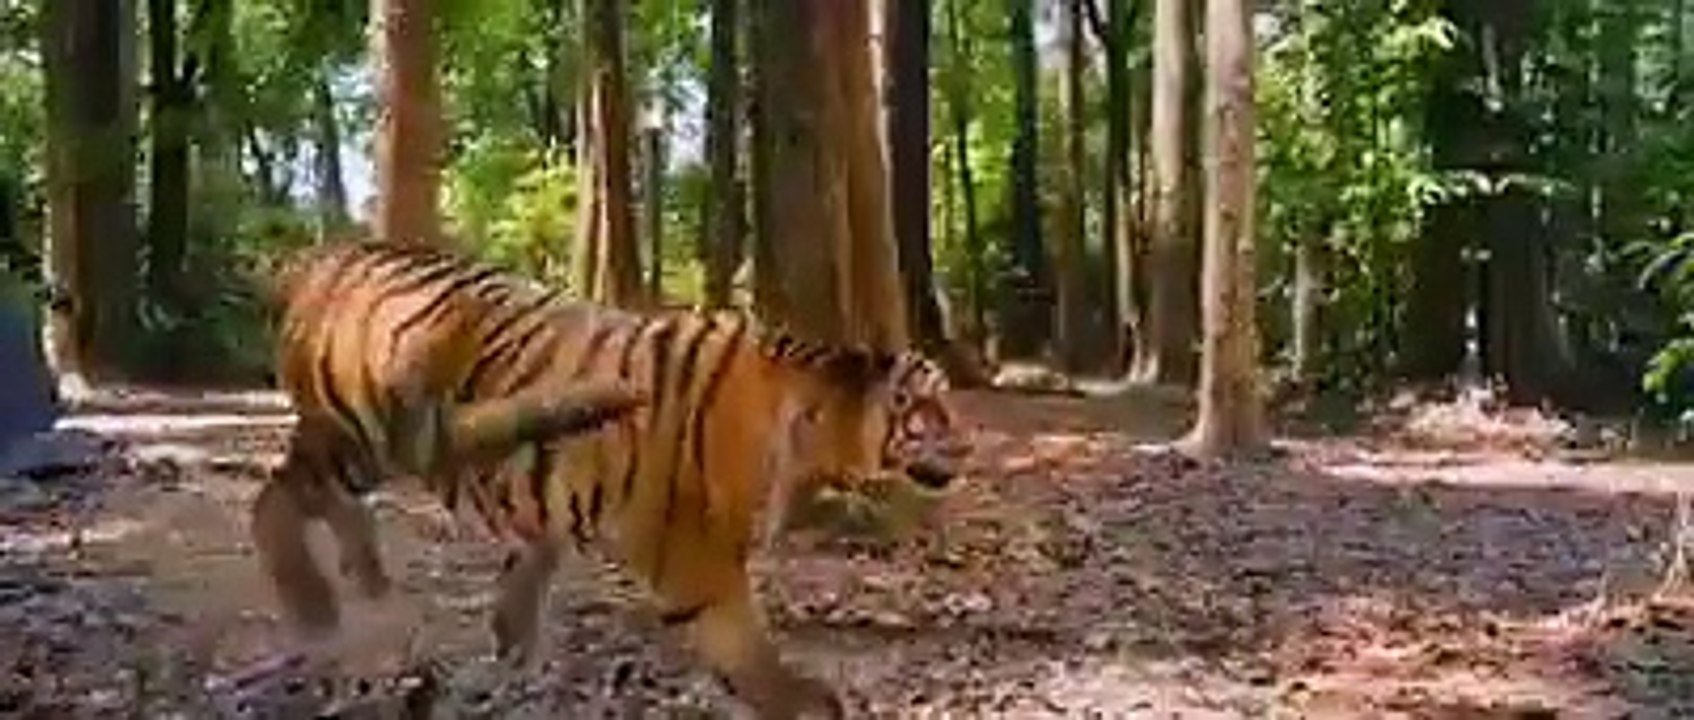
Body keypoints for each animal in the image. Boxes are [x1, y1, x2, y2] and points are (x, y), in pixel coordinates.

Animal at [252, 239, 967, 719]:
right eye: (929, 409)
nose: (966, 446)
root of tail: (321, 257)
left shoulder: (549, 506)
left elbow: (525, 577)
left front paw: (510, 664)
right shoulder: (696, 560)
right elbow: (748, 650)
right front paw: (808, 700)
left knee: (322, 500)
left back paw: (369, 583)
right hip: (366, 428)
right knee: (274, 498)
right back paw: (317, 610)